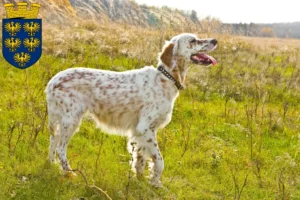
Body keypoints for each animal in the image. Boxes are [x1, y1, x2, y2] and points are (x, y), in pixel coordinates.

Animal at [45, 33, 217, 188]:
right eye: (193, 40)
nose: (215, 40)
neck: (165, 78)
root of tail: (52, 81)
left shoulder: (140, 132)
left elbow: (140, 159)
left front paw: (140, 181)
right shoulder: (145, 128)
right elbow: (159, 161)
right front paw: (156, 183)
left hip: (63, 121)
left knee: (53, 141)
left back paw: (52, 165)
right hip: (71, 120)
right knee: (60, 148)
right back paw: (70, 174)